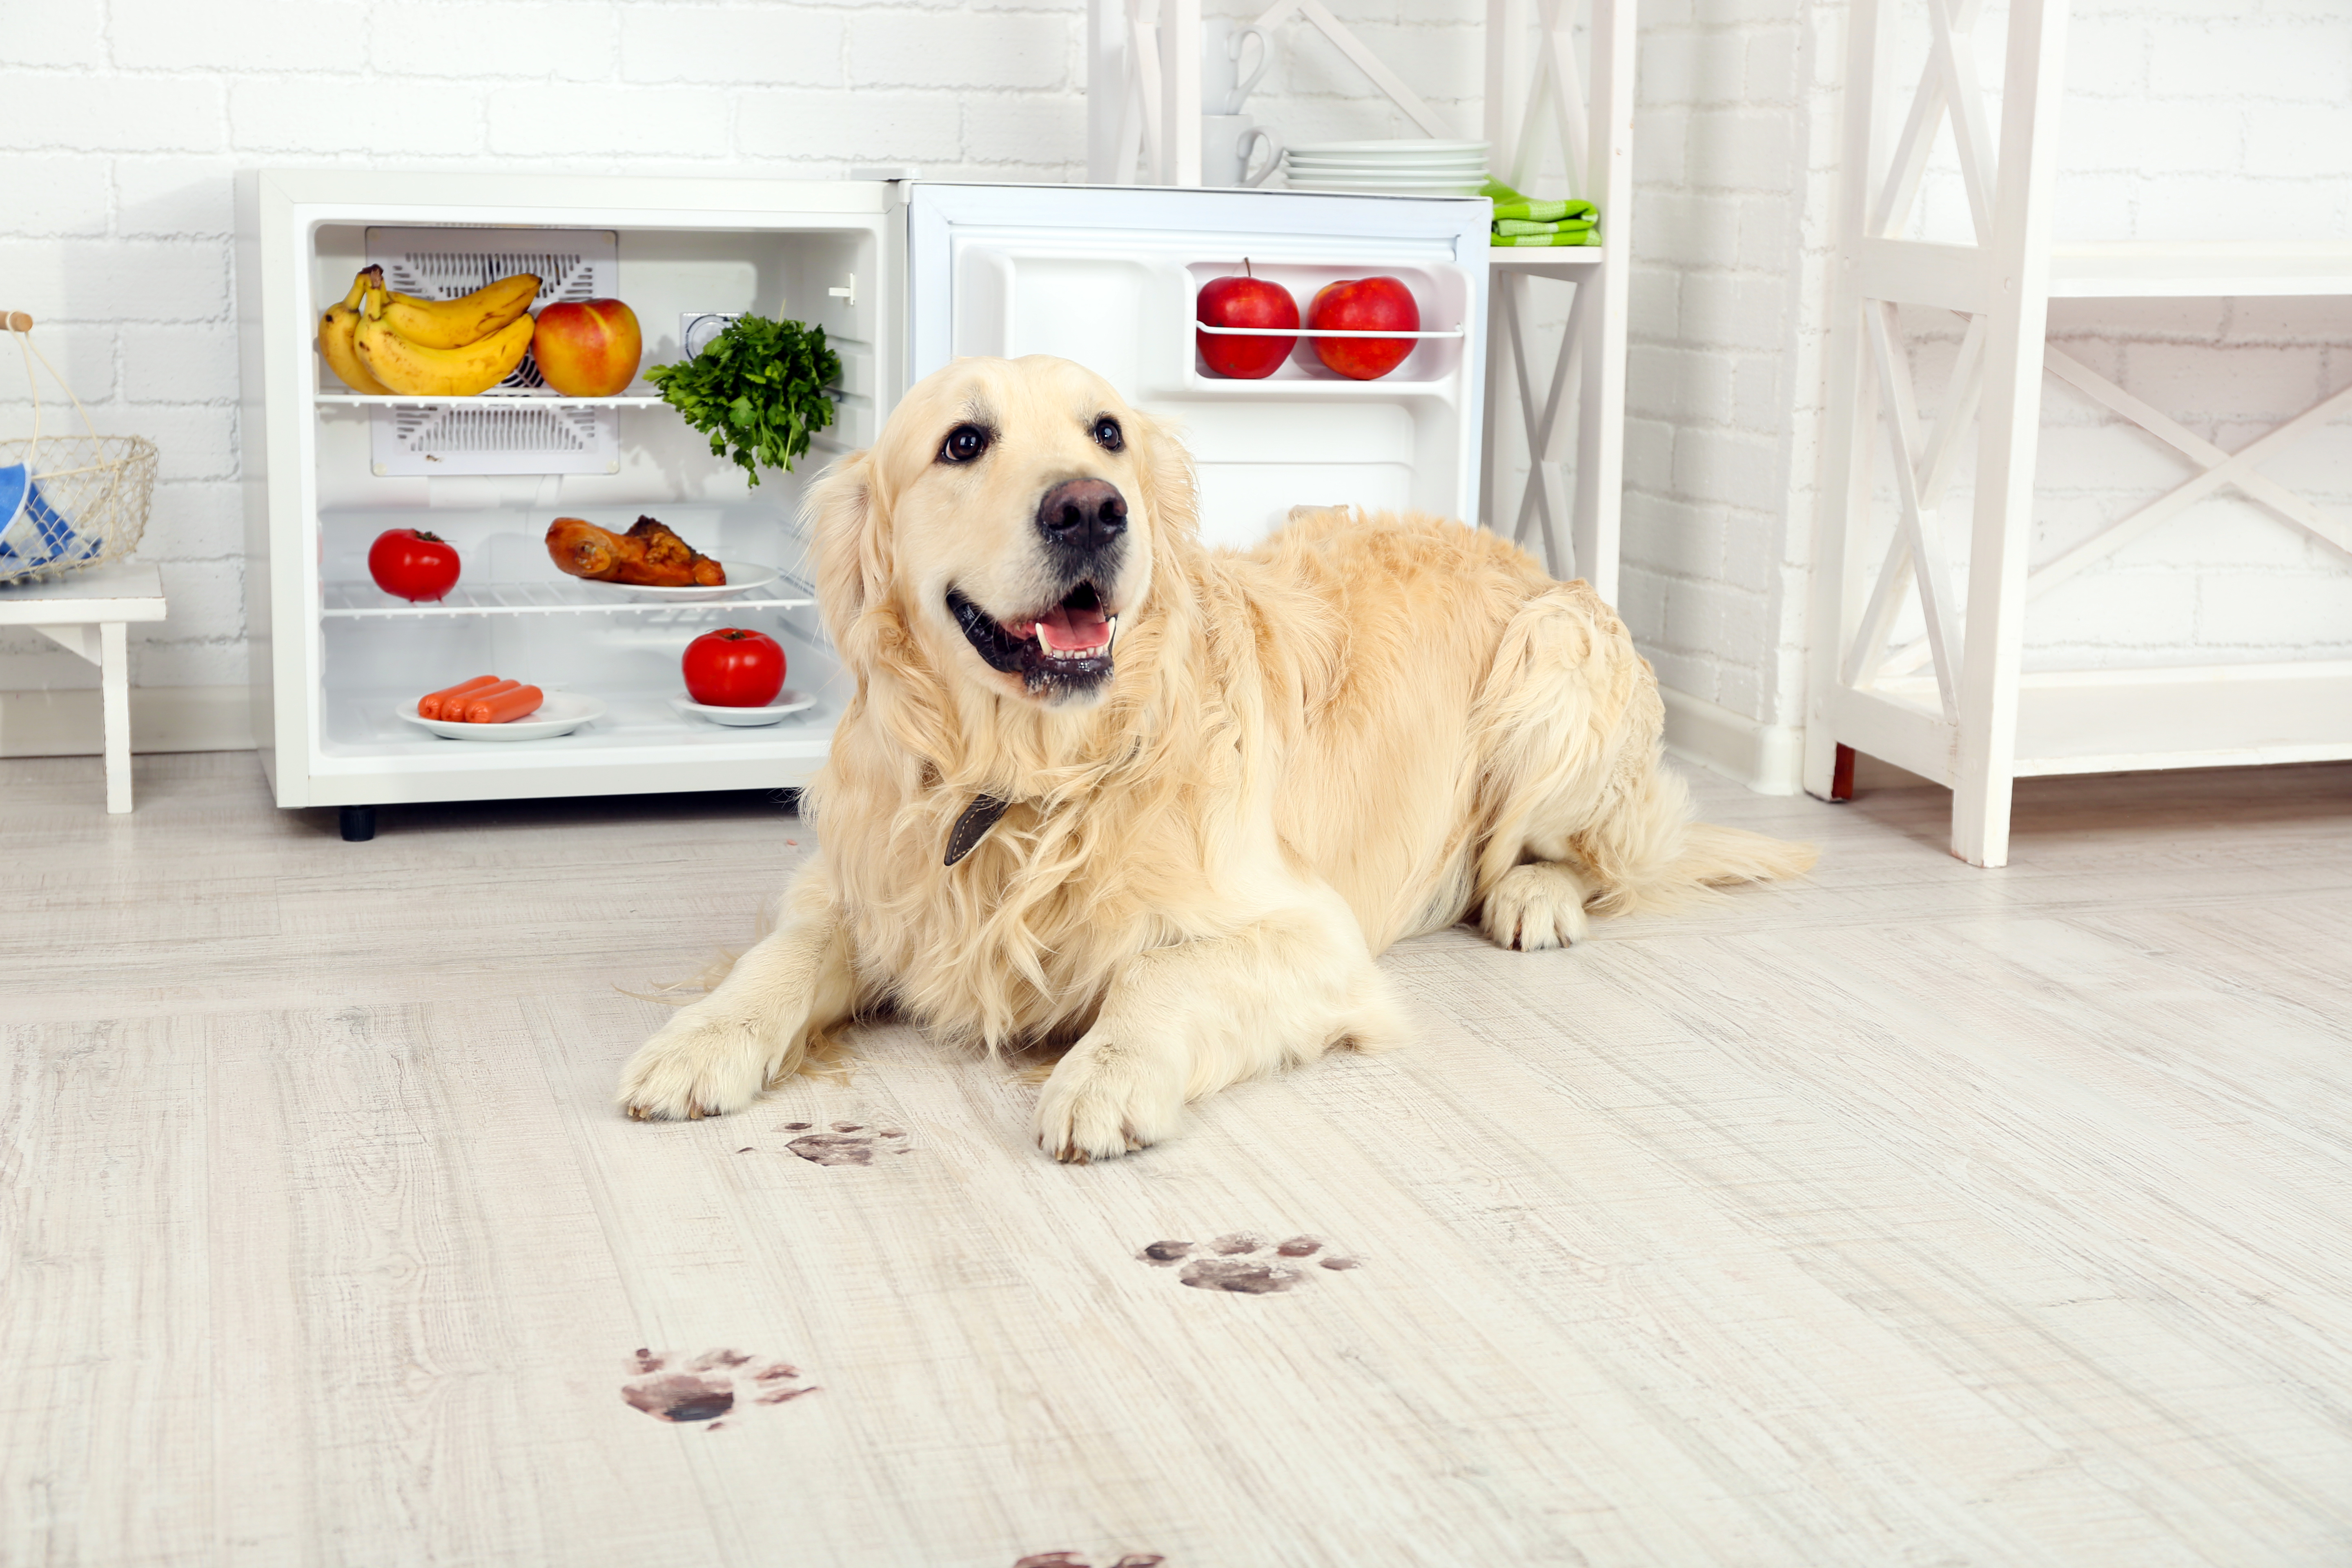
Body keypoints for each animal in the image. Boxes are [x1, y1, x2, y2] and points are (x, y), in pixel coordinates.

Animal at [616, 359, 1806, 1166]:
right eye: (961, 443)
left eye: (1107, 433)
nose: (1090, 509)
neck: (1033, 781)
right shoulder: (861, 887)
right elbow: (776, 961)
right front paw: (695, 1042)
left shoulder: (1312, 933)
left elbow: (1165, 974)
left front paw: (1105, 1075)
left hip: (1554, 653)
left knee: (1595, 859)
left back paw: (1532, 897)